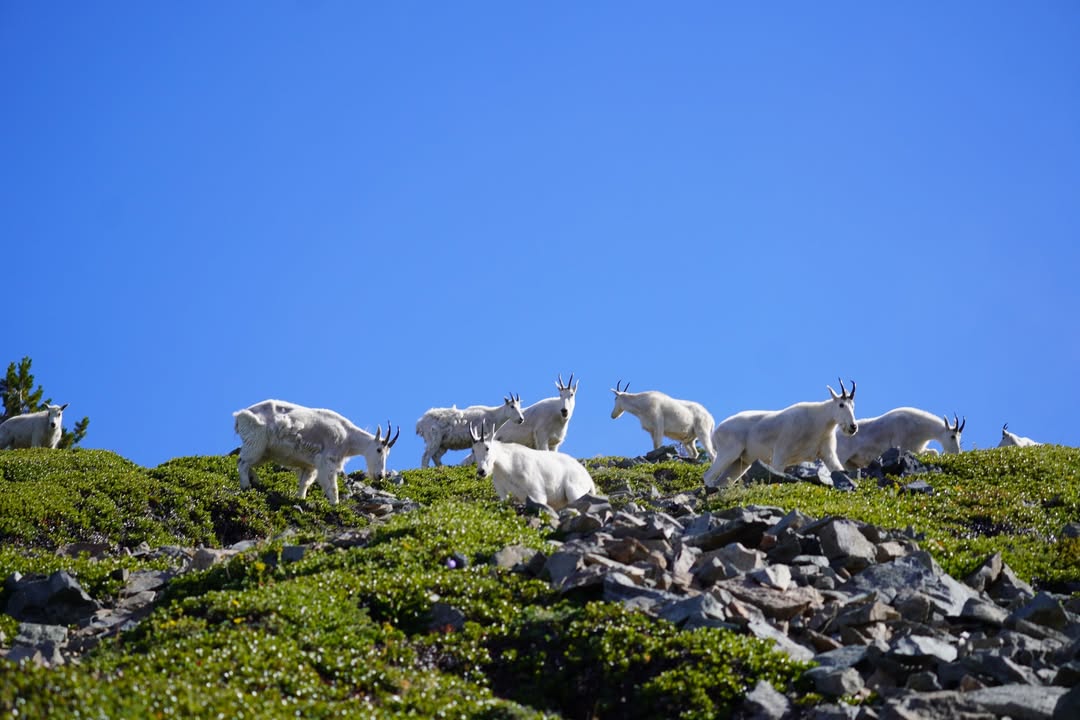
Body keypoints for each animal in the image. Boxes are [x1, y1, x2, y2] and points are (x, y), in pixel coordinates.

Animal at [233, 399, 399, 505]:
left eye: (388, 453)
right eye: (379, 449)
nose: (380, 476)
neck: (348, 437)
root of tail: (240, 415)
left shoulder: (310, 465)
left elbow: (304, 483)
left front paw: (300, 499)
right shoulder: (327, 462)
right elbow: (331, 486)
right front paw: (335, 504)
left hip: (265, 452)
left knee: (248, 463)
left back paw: (255, 481)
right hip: (256, 442)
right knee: (242, 462)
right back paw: (246, 486)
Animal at [702, 379, 858, 488]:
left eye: (853, 406)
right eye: (841, 405)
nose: (853, 427)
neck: (819, 422)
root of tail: (715, 432)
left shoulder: (827, 454)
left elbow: (838, 469)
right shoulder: (780, 455)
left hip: (740, 462)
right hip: (728, 452)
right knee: (708, 476)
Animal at [835, 409, 964, 470]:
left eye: (960, 437)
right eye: (952, 436)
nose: (957, 453)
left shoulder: (917, 449)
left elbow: (934, 452)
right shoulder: (902, 448)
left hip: (850, 463)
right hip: (841, 456)